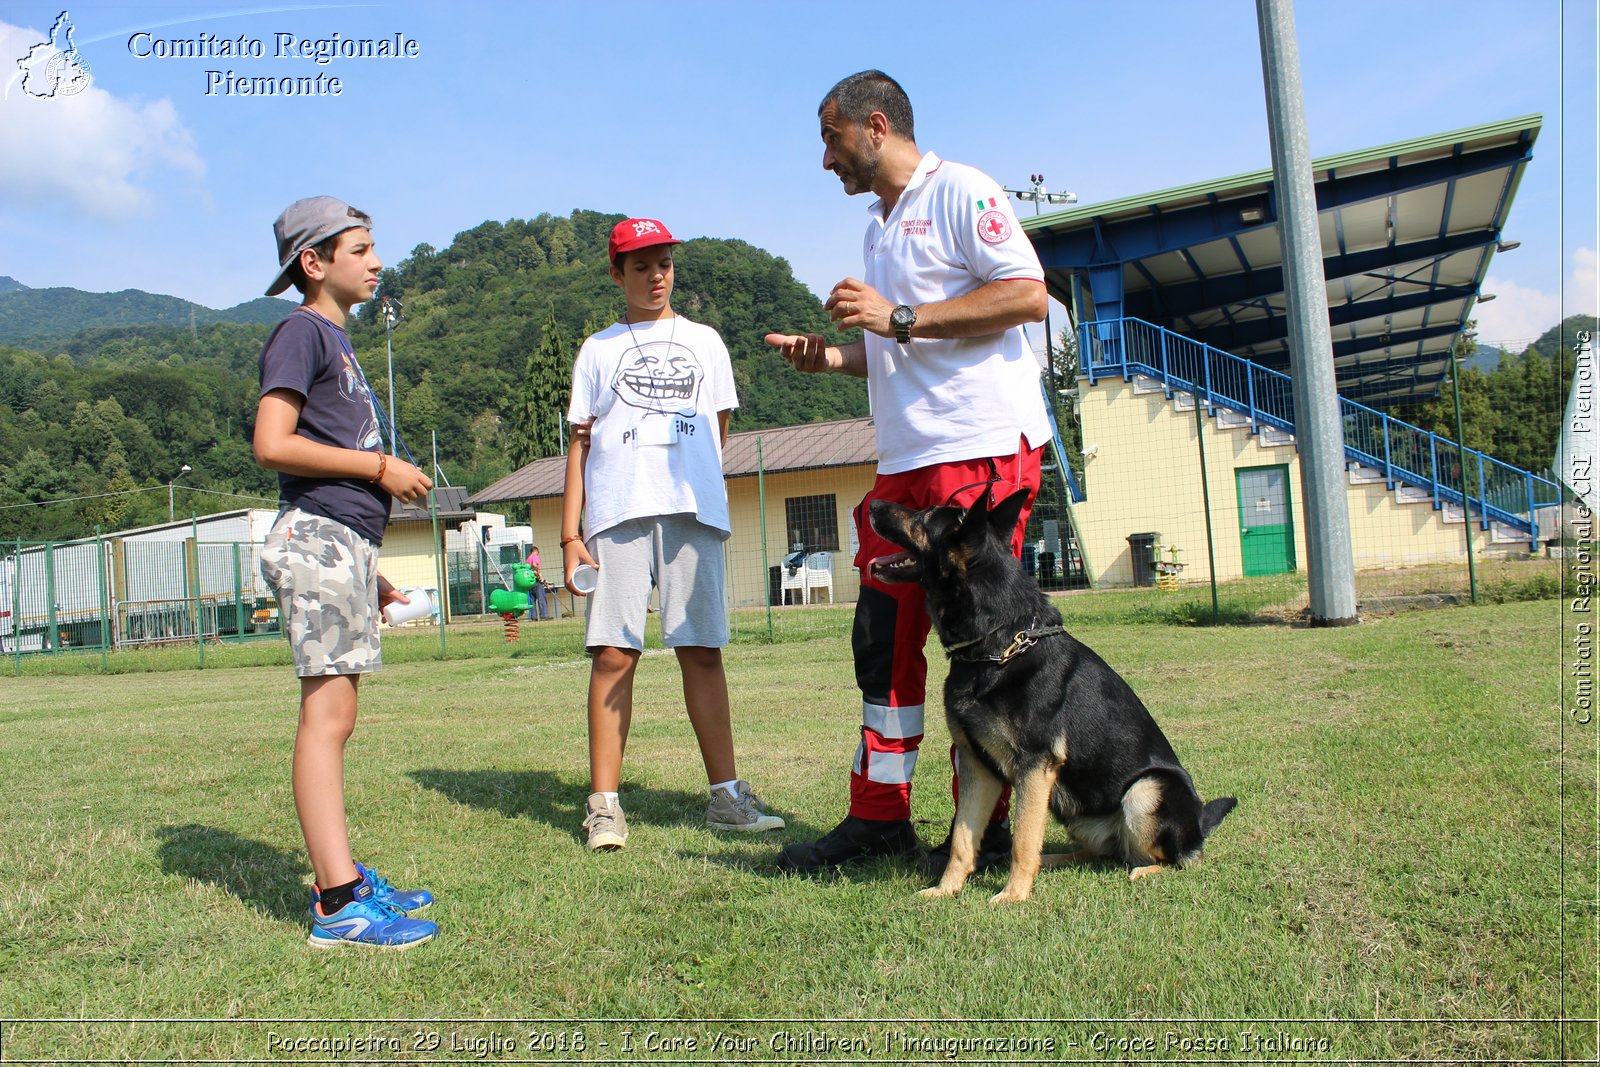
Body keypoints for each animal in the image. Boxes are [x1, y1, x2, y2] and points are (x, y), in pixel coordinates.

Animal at [870, 489, 1228, 902]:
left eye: (925, 515)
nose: (871, 505)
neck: (1000, 644)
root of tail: (1199, 827)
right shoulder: (979, 767)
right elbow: (962, 839)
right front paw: (945, 890)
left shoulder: (1034, 765)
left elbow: (1023, 838)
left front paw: (1012, 896)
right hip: (1072, 809)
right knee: (1102, 853)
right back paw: (1053, 860)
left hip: (1146, 790)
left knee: (1171, 859)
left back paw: (1143, 869)